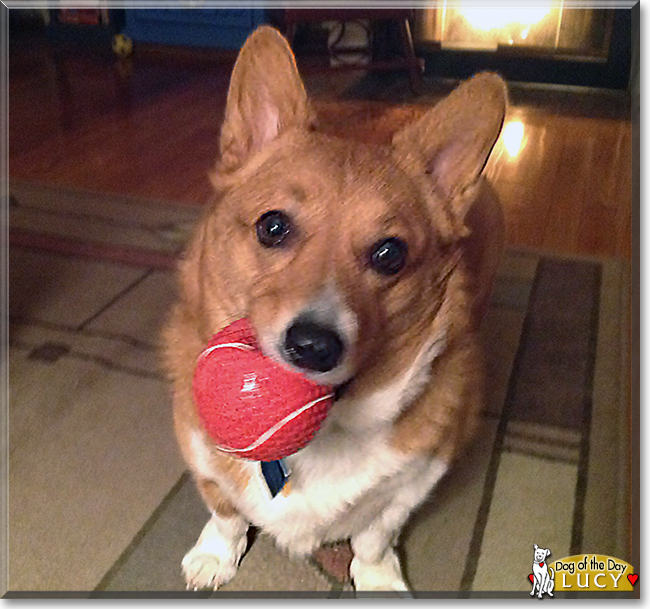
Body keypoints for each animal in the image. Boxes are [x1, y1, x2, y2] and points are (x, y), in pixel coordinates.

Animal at [163, 26, 506, 592]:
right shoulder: (201, 453)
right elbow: (226, 511)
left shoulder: (415, 479)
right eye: (272, 226)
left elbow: (374, 535)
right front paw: (215, 556)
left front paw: (378, 579)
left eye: (390, 254)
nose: (313, 345)